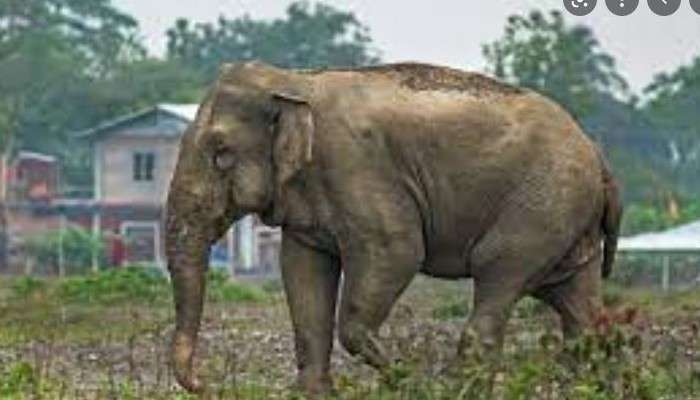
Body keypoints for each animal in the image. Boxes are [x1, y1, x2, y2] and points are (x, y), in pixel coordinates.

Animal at [165, 61, 624, 396]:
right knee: (577, 304)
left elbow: (397, 251)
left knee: (498, 277)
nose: (201, 384)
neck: (295, 80)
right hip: (564, 219)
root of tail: (599, 156)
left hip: (541, 207)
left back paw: (457, 388)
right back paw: (585, 387)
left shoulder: (359, 168)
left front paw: (406, 377)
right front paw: (314, 393)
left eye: (221, 154)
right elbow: (303, 270)